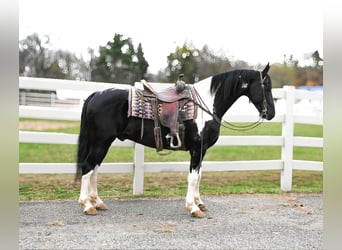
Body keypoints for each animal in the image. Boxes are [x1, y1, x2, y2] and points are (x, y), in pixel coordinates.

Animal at [75, 63, 276, 218]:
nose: (271, 114)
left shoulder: (202, 150)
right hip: (100, 142)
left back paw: (98, 202)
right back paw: (87, 205)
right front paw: (193, 208)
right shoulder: (197, 149)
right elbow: (193, 177)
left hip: (102, 143)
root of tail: (96, 94)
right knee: (88, 167)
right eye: (266, 86)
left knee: (94, 169)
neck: (205, 104)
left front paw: (199, 202)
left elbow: (199, 175)